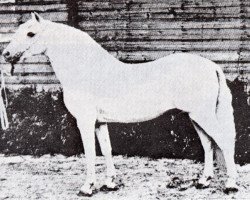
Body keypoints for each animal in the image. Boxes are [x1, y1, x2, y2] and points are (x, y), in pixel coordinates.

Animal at [3, 13, 238, 196]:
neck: (86, 70)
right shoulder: (99, 122)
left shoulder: (85, 121)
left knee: (224, 141)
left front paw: (87, 187)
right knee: (208, 144)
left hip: (202, 115)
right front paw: (110, 183)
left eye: (31, 34)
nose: (6, 54)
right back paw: (203, 182)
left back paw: (231, 185)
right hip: (196, 116)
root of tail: (211, 66)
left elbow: (90, 152)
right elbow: (106, 149)